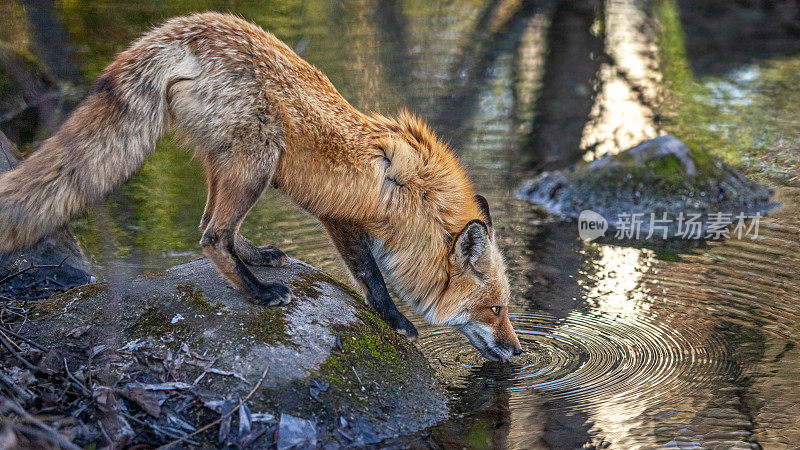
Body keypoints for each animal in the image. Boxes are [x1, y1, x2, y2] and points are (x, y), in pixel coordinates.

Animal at [0, 11, 520, 362]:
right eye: (495, 310)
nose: (517, 351)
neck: (415, 198)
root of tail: (188, 27)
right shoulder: (342, 218)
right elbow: (371, 277)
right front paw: (395, 320)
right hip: (256, 164)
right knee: (212, 236)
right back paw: (258, 292)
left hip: (232, 163)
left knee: (212, 224)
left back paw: (256, 257)